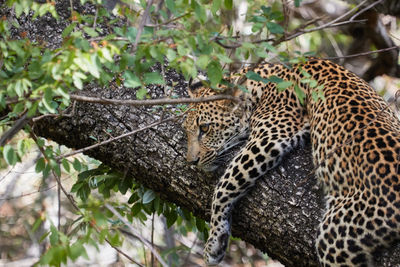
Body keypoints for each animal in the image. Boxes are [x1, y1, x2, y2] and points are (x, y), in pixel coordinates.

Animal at [183, 59, 400, 267]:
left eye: (205, 128)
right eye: (187, 131)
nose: (192, 161)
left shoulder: (269, 138)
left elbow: (224, 186)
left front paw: (214, 243)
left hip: (337, 236)